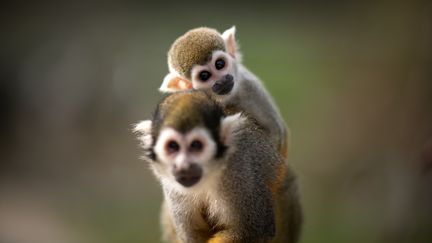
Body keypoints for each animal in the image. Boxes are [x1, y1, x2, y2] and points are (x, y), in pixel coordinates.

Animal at [134, 91, 300, 243]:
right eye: (172, 146)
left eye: (196, 145)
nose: (184, 166)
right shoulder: (172, 186)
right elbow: (192, 234)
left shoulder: (240, 171)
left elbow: (254, 231)